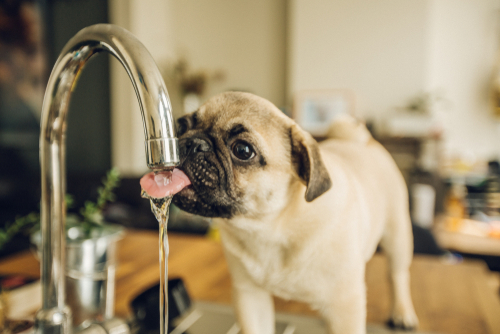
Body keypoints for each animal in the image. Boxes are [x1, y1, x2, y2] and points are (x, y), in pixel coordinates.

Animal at [169, 91, 418, 334]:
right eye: (180, 127)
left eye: (242, 150)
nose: (192, 143)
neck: (270, 226)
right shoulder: (250, 296)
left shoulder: (345, 305)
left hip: (397, 236)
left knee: (397, 275)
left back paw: (402, 313)